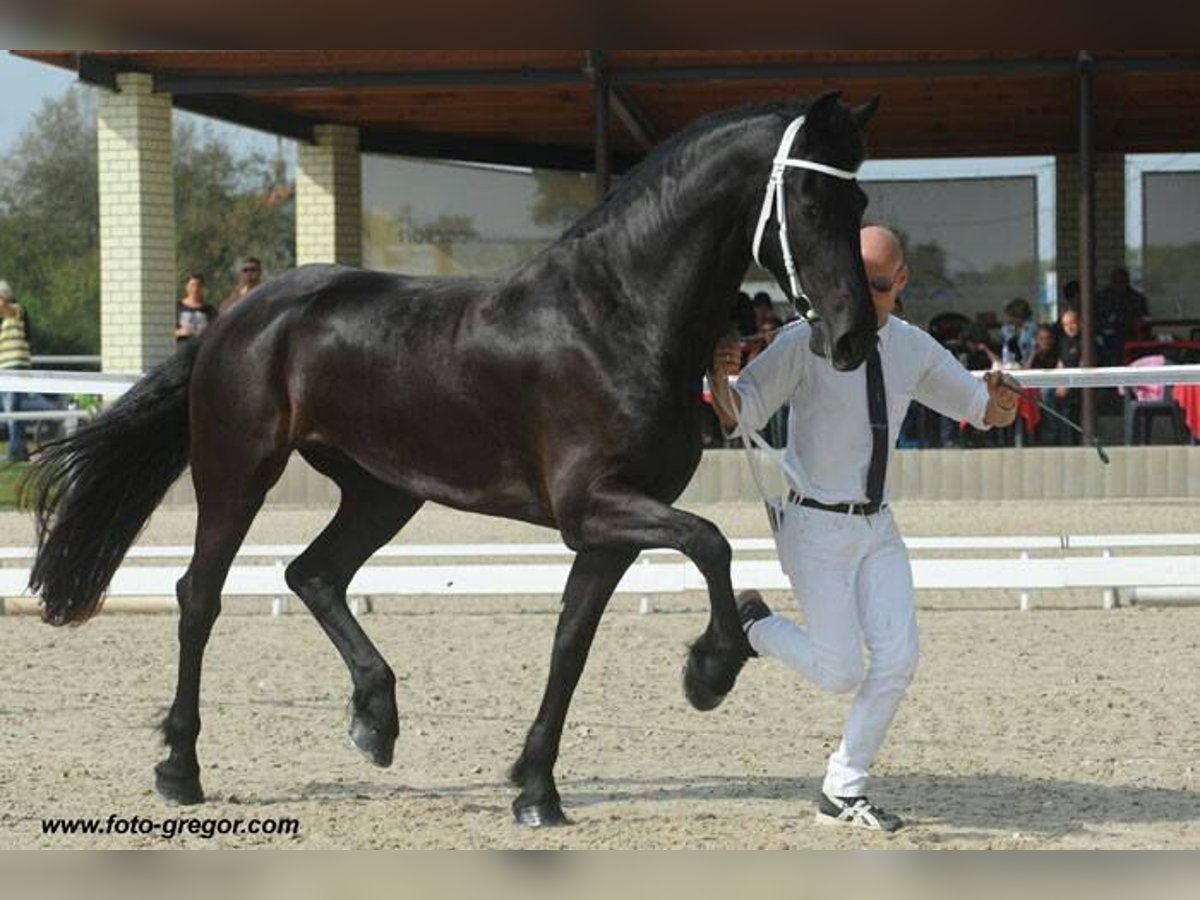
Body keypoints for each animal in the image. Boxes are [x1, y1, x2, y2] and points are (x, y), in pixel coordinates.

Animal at [23, 90, 879, 828]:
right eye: (809, 202)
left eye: (860, 204)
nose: (850, 339)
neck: (617, 318)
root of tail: (240, 318)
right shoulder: (592, 507)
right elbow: (712, 541)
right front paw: (710, 671)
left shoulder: (609, 530)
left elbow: (571, 645)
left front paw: (536, 791)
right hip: (237, 474)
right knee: (199, 595)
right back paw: (180, 770)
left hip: (382, 490)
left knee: (314, 574)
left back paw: (376, 721)